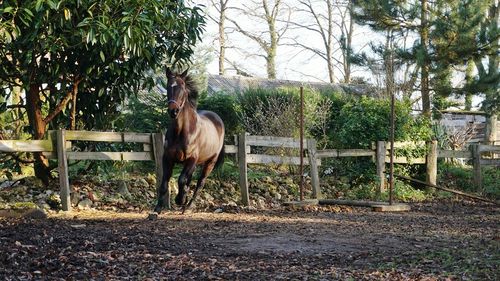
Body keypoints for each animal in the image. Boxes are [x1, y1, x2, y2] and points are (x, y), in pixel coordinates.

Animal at [153, 68, 226, 212]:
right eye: (168, 86)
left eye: (182, 87)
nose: (173, 111)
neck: (182, 132)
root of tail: (217, 119)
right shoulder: (167, 158)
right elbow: (164, 183)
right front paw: (157, 208)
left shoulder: (191, 159)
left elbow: (181, 180)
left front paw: (180, 199)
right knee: (190, 179)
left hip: (210, 162)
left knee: (200, 182)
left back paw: (189, 205)